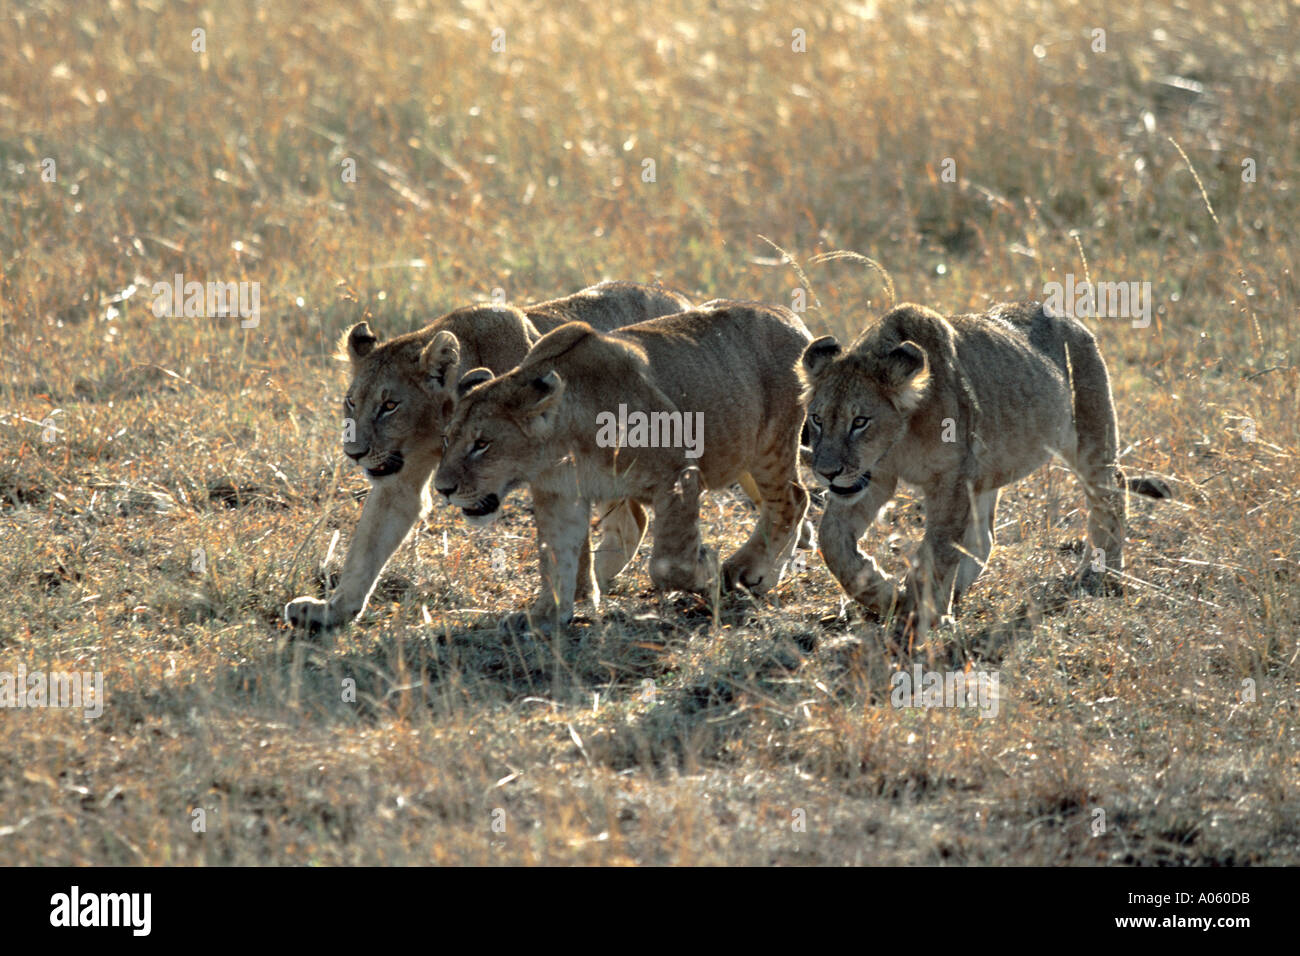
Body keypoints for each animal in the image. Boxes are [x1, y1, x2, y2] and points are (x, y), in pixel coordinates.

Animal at [284, 281, 692, 632]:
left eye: (389, 405)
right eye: (351, 402)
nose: (353, 453)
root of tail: (678, 296)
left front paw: (575, 596)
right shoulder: (399, 478)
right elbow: (367, 546)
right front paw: (332, 611)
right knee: (633, 518)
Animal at [432, 301, 813, 633]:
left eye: (483, 444)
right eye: (448, 439)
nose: (442, 489)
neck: (565, 441)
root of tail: (789, 315)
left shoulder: (678, 473)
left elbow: (667, 564)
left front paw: (706, 569)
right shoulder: (559, 493)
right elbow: (557, 556)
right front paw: (546, 614)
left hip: (771, 445)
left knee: (792, 499)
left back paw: (743, 569)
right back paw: (764, 576)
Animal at [800, 300, 1129, 640]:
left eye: (860, 421)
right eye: (817, 419)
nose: (827, 472)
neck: (902, 434)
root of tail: (1067, 316)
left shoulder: (951, 478)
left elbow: (937, 551)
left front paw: (918, 616)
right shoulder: (875, 477)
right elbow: (833, 541)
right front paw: (888, 593)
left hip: (1090, 435)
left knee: (1111, 490)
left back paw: (1099, 574)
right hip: (984, 474)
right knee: (984, 537)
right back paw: (955, 594)